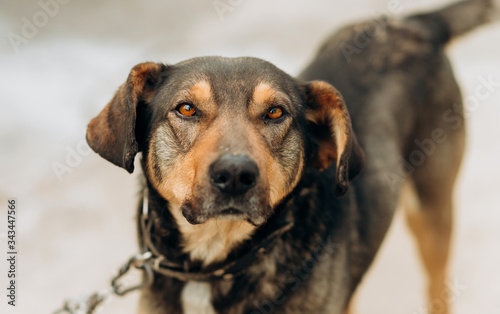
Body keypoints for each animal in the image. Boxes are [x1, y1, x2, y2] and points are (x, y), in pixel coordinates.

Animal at [86, 0, 496, 314]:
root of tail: (416, 23)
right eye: (186, 109)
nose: (234, 175)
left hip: (433, 210)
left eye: (275, 113)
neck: (215, 264)